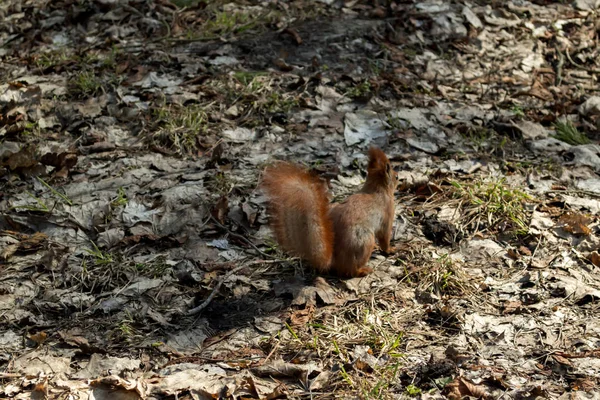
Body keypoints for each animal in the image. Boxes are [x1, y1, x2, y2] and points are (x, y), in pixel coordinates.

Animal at [258, 148, 396, 278]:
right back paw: (362, 270)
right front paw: (390, 249)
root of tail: (334, 260)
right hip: (363, 241)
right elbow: (384, 236)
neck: (376, 188)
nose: (398, 176)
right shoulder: (387, 213)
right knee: (350, 271)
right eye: (395, 176)